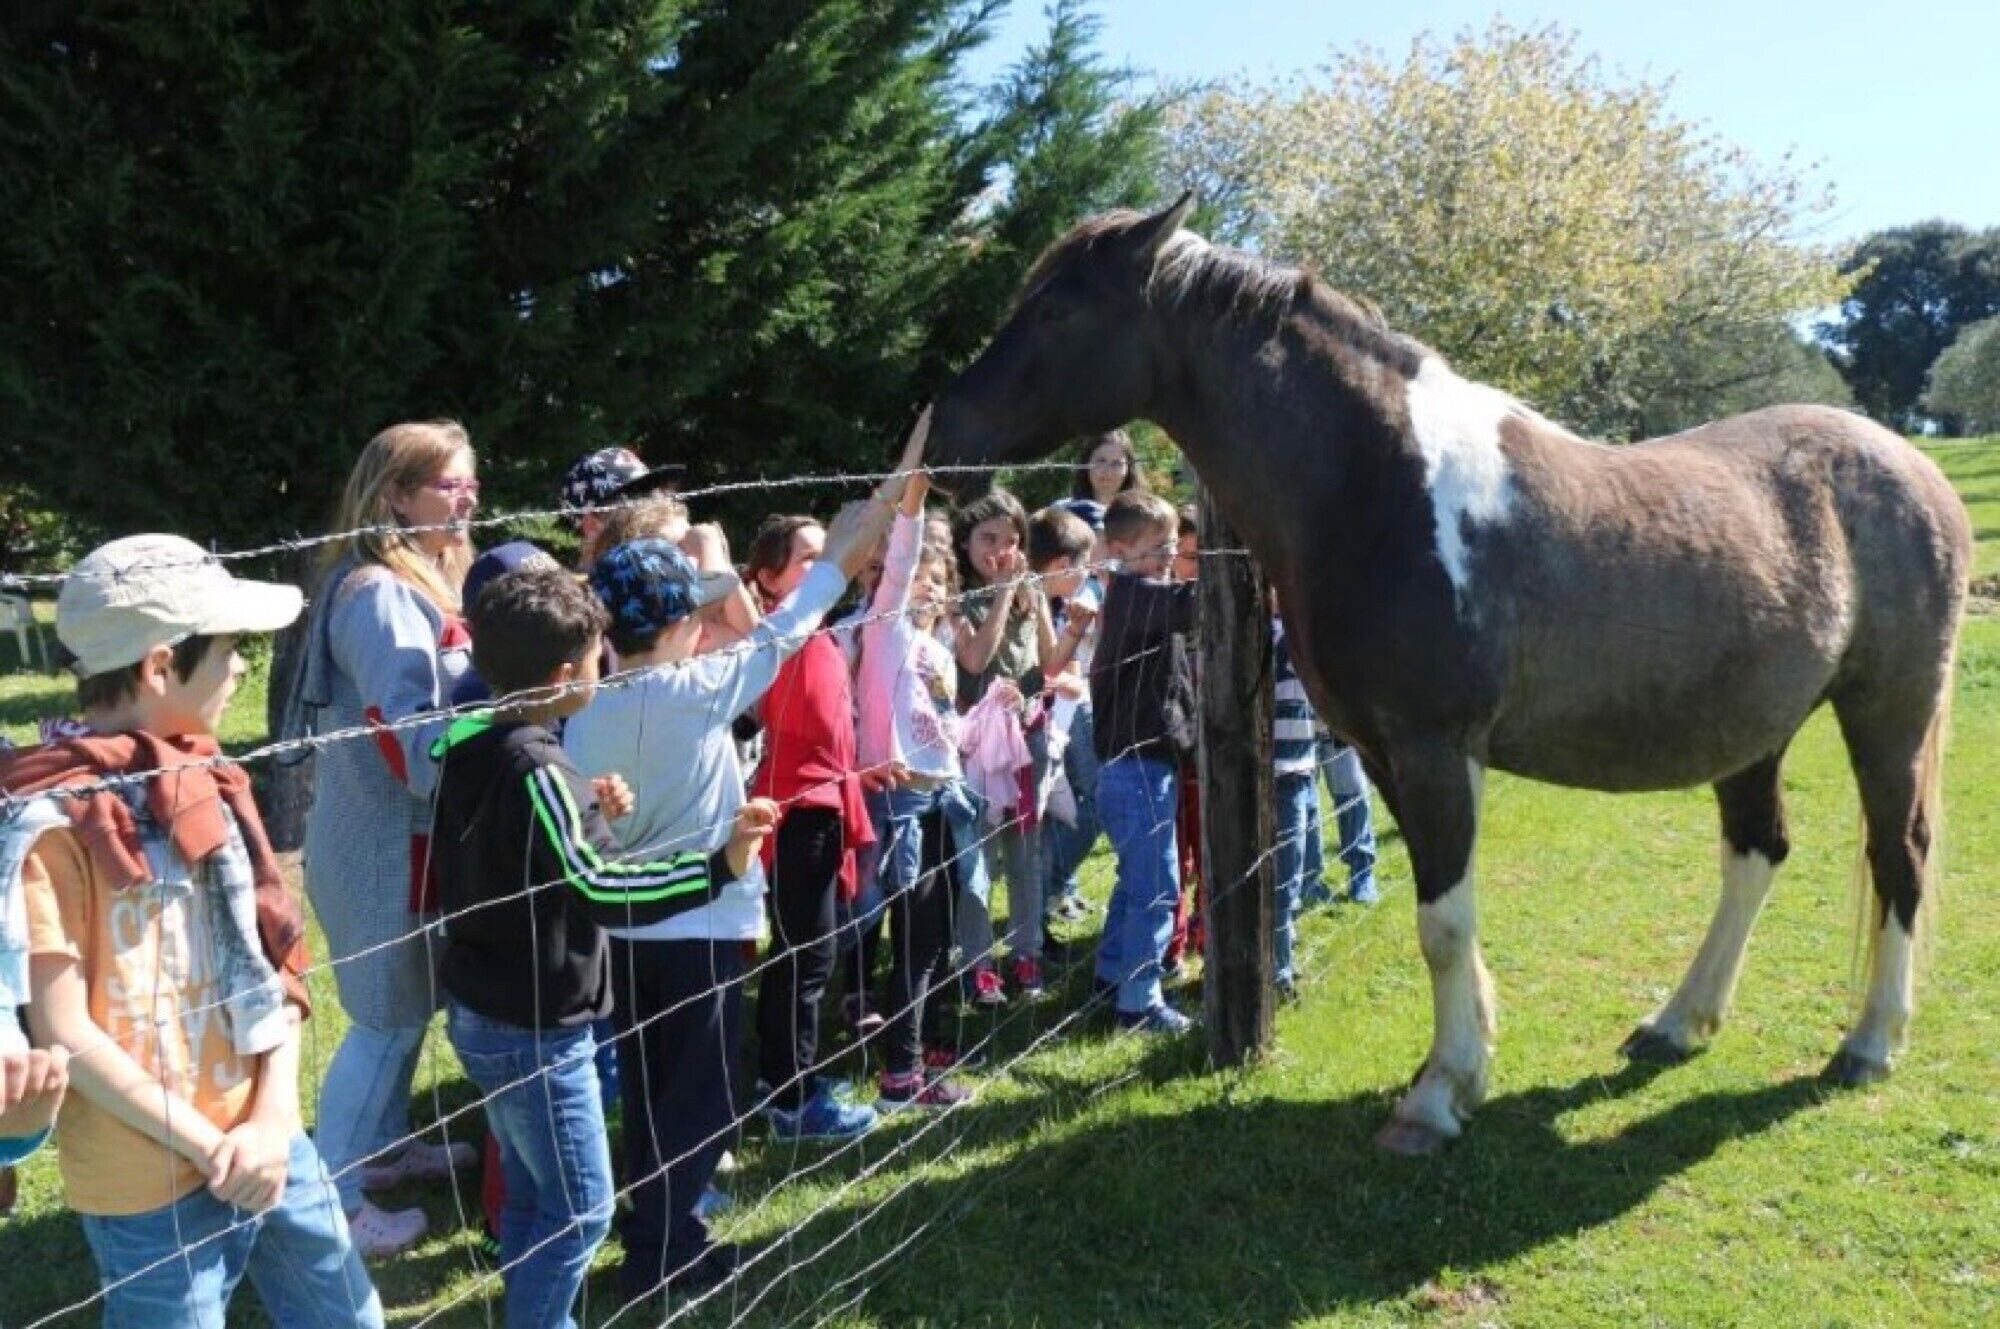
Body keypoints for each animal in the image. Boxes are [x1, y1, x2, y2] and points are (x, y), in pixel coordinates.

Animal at [923, 195, 1970, 1155]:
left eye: (1060, 309)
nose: (941, 434)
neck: (1375, 481)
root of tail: (1913, 469)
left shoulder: (1433, 750)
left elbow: (1445, 923)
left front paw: (1435, 1098)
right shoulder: (1388, 752)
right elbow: (1444, 918)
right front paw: (1459, 1071)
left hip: (1889, 713)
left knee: (1901, 852)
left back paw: (1870, 1042)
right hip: (1752, 728)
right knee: (1757, 854)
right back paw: (1678, 1022)